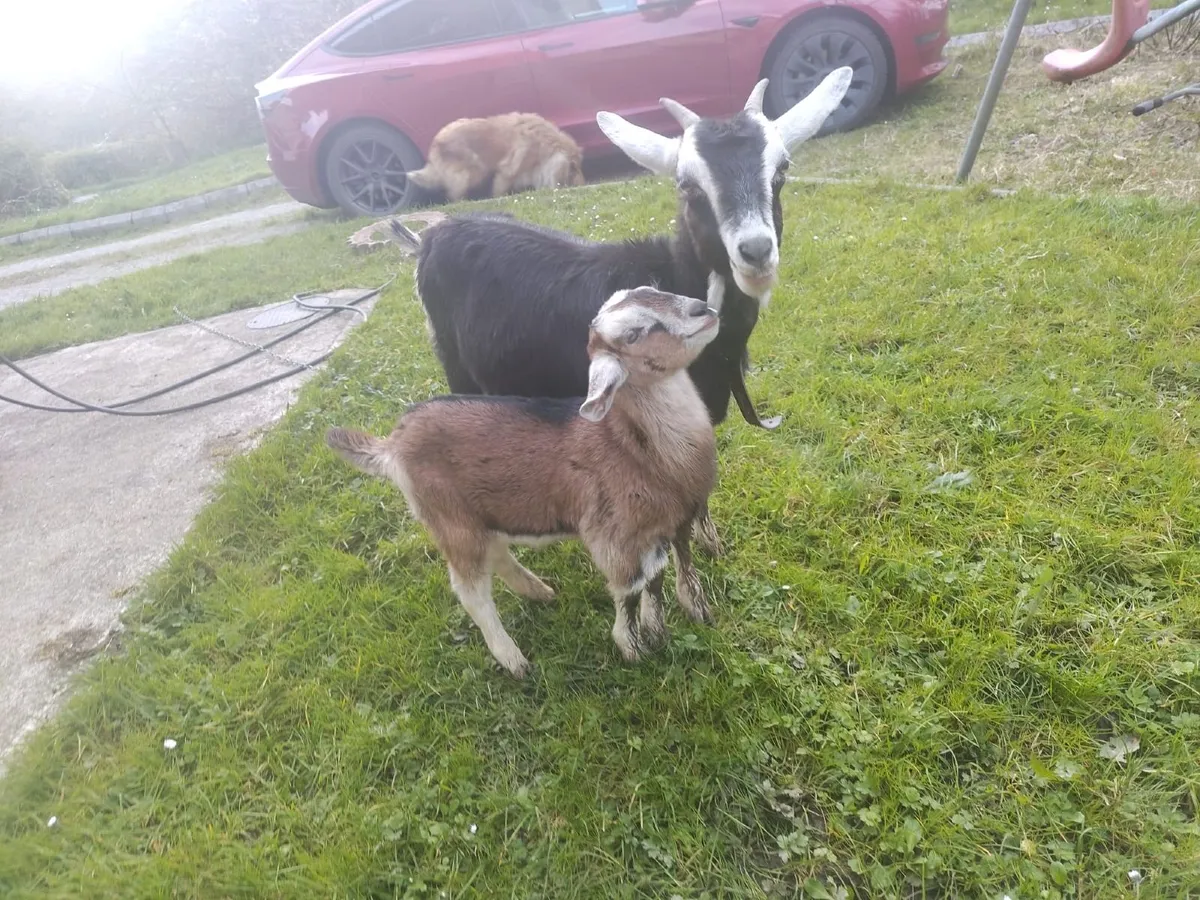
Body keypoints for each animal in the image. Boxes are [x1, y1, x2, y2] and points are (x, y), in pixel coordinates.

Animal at [326, 287, 720, 678]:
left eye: (656, 290)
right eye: (634, 334)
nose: (705, 310)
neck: (634, 446)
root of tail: (393, 444)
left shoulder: (661, 527)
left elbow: (656, 575)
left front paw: (664, 627)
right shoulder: (612, 536)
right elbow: (630, 588)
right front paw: (633, 648)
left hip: (482, 514)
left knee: (498, 552)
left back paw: (538, 591)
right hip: (449, 519)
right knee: (471, 591)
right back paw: (514, 661)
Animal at [406, 112, 585, 203]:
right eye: (574, 168)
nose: (582, 184)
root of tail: (435, 143)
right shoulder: (508, 171)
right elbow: (499, 189)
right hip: (472, 172)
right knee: (454, 194)